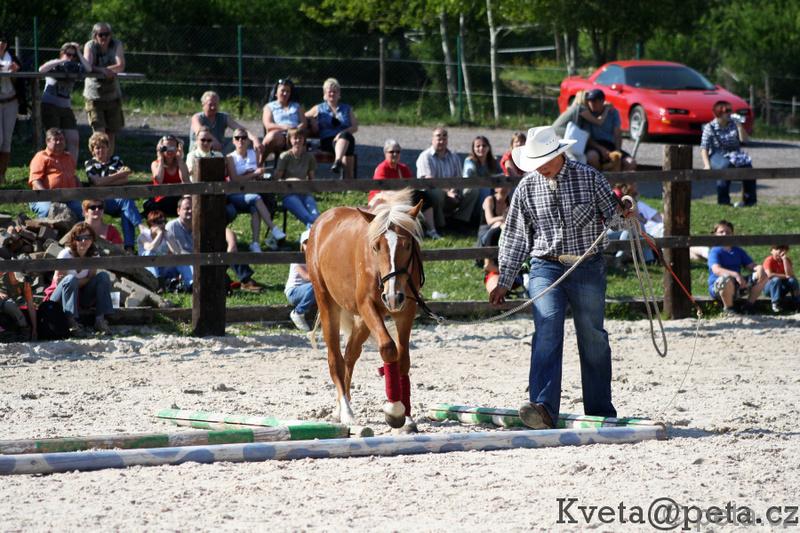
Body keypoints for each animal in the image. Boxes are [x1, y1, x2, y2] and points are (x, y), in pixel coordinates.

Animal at [306, 191, 424, 432]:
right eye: (376, 246)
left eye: (408, 245)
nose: (392, 297)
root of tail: (324, 220)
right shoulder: (367, 305)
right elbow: (388, 348)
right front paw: (394, 411)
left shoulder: (406, 311)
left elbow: (403, 360)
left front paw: (407, 417)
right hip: (328, 304)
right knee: (335, 360)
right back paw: (347, 413)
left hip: (363, 320)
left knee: (349, 354)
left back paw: (339, 408)